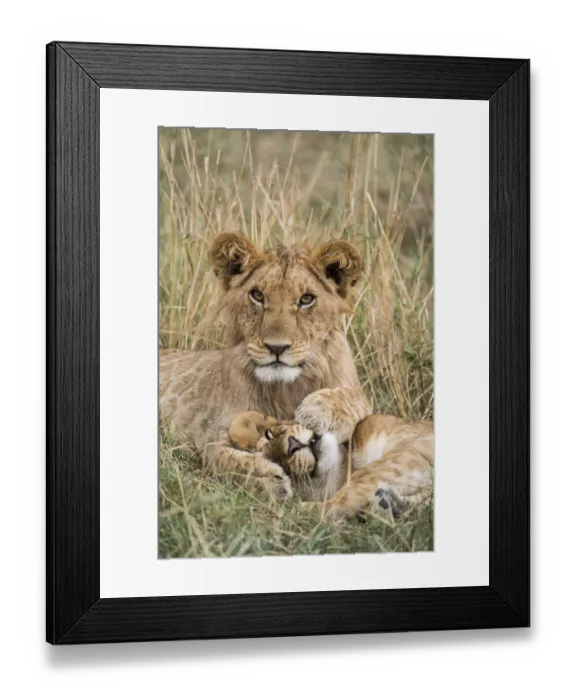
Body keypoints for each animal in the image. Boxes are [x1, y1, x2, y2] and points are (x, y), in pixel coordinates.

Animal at [159, 233, 372, 498]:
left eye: (306, 299)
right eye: (258, 296)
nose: (276, 347)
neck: (285, 390)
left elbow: (358, 398)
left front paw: (318, 409)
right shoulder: (215, 434)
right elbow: (222, 459)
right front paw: (268, 479)